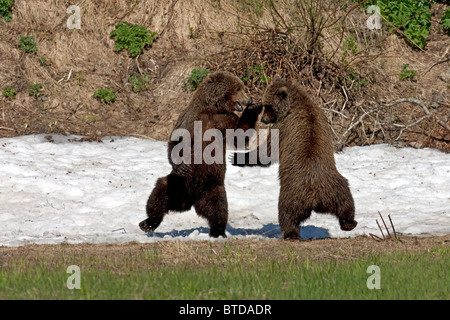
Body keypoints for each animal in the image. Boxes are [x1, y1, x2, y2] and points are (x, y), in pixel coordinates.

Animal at [139, 71, 262, 239]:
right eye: (238, 88)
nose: (249, 99)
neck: (212, 109)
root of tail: (189, 201)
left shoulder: (226, 121)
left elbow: (239, 136)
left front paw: (254, 108)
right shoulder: (191, 118)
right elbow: (177, 140)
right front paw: (181, 164)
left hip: (213, 188)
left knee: (219, 209)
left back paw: (218, 232)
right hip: (178, 183)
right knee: (160, 192)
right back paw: (148, 223)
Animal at [232, 76, 356, 239]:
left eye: (267, 105)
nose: (264, 120)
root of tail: (316, 197)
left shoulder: (283, 127)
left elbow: (268, 151)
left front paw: (236, 158)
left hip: (292, 192)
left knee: (286, 213)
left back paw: (290, 233)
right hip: (334, 186)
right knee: (346, 200)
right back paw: (349, 223)